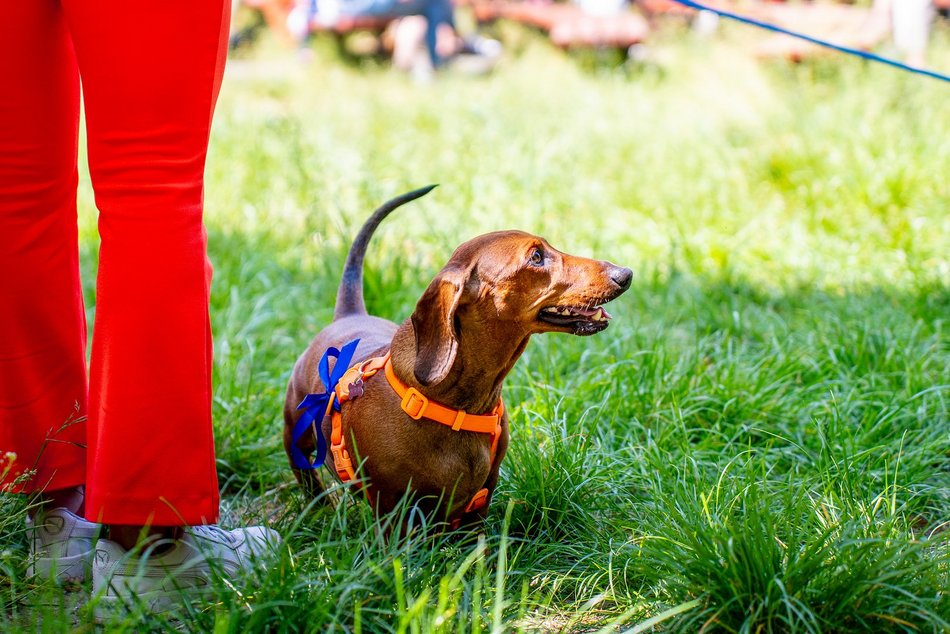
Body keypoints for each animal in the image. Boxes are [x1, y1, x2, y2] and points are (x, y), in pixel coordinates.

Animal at [282, 185, 632, 524]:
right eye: (536, 256)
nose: (625, 274)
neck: (455, 405)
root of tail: (349, 314)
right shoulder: (391, 509)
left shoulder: (480, 498)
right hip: (296, 433)